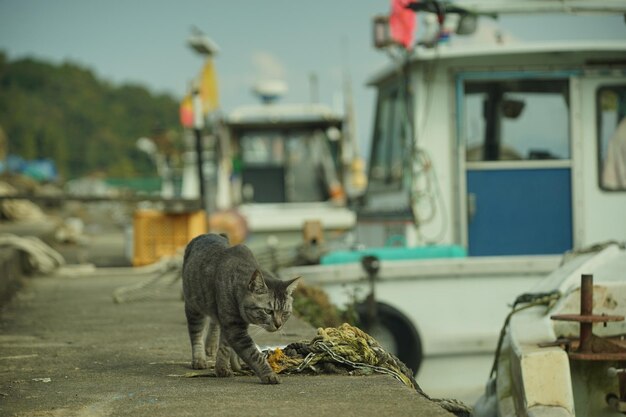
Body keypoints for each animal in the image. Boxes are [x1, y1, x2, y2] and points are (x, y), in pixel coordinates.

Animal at [180, 231, 300, 384]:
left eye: (285, 313)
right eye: (268, 311)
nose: (278, 325)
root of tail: (209, 234)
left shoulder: (230, 324)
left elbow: (225, 347)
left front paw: (222, 368)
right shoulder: (234, 328)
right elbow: (254, 355)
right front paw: (269, 374)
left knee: (214, 323)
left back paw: (211, 346)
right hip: (193, 307)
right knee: (196, 334)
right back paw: (199, 359)